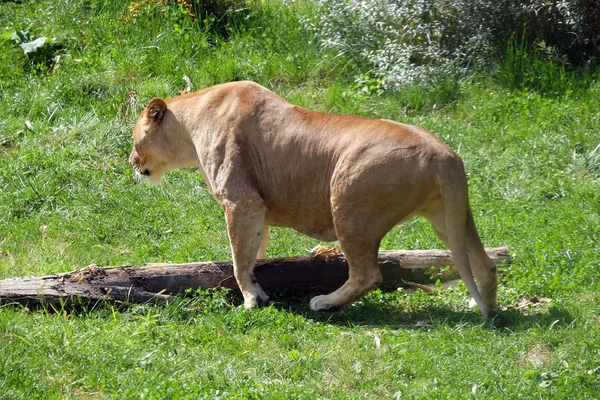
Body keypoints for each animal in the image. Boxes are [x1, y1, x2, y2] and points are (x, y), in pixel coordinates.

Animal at [132, 79, 502, 320]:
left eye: (135, 139)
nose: (132, 162)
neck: (192, 121)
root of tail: (444, 155)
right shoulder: (256, 208)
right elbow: (253, 251)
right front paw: (259, 283)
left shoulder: (241, 201)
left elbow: (239, 259)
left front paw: (250, 298)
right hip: (449, 217)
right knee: (485, 262)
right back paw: (484, 307)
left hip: (350, 207)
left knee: (368, 275)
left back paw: (324, 303)